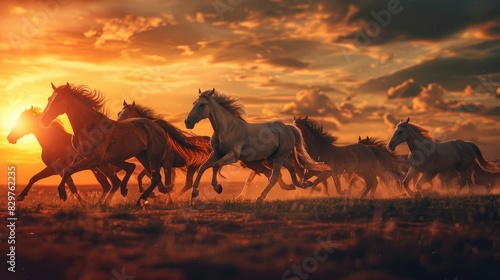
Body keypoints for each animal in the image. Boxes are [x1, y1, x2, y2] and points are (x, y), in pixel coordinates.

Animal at [39, 83, 168, 206]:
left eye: (59, 100)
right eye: (49, 98)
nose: (43, 120)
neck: (89, 127)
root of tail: (156, 125)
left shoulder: (94, 160)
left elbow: (68, 170)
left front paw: (62, 194)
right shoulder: (81, 157)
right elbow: (67, 170)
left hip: (153, 157)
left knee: (153, 177)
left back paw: (137, 200)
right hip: (140, 156)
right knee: (148, 176)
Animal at [186, 88, 330, 202]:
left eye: (202, 104)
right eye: (194, 103)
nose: (188, 122)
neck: (227, 128)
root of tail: (288, 128)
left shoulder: (233, 155)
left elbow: (215, 165)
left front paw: (217, 187)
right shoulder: (217, 153)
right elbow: (202, 168)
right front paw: (194, 193)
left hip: (279, 157)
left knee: (274, 177)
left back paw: (261, 198)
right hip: (273, 157)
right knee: (289, 168)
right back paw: (299, 185)